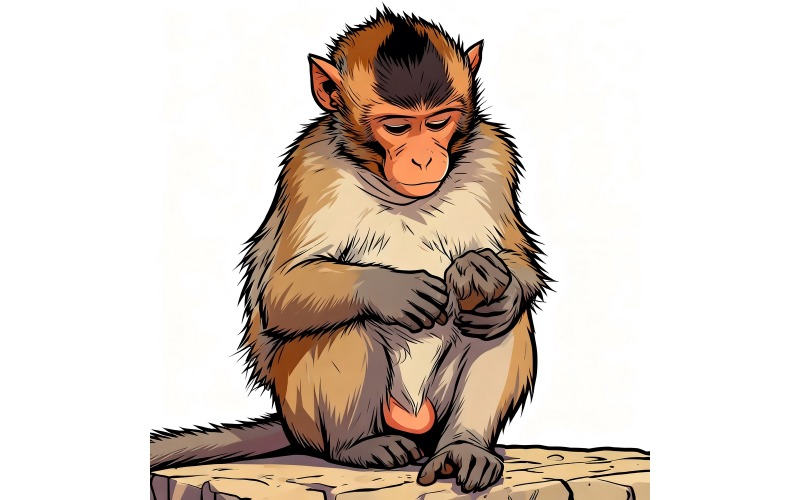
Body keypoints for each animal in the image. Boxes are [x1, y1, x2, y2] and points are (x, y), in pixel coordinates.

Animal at [151, 9, 550, 494]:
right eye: (397, 127)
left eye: (438, 122)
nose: (424, 159)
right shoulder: (311, 169)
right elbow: (280, 290)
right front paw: (393, 290)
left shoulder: (494, 157)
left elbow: (516, 261)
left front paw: (495, 280)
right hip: (304, 408)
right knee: (346, 323)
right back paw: (358, 445)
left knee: (496, 325)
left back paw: (464, 446)